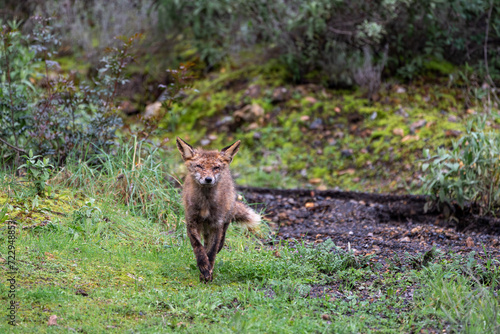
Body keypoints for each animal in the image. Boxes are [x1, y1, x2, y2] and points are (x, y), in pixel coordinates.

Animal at [177, 138, 262, 282]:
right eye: (199, 166)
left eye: (216, 168)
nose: (208, 179)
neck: (205, 204)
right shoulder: (191, 222)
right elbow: (198, 248)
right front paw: (203, 266)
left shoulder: (217, 225)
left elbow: (211, 252)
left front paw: (208, 273)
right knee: (205, 244)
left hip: (225, 221)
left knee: (219, 243)